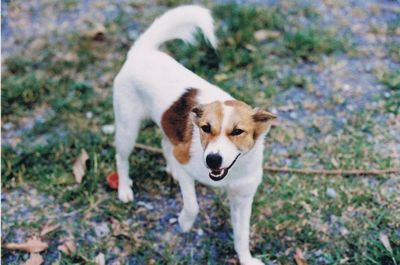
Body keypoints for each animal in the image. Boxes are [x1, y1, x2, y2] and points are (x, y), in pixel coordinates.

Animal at [112, 4, 276, 264]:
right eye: (206, 128)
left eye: (237, 131)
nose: (212, 160)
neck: (230, 171)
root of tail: (142, 51)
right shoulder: (187, 165)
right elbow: (192, 206)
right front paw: (184, 223)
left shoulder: (242, 198)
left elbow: (242, 236)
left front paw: (246, 258)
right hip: (128, 127)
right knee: (122, 157)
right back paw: (124, 189)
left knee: (165, 143)